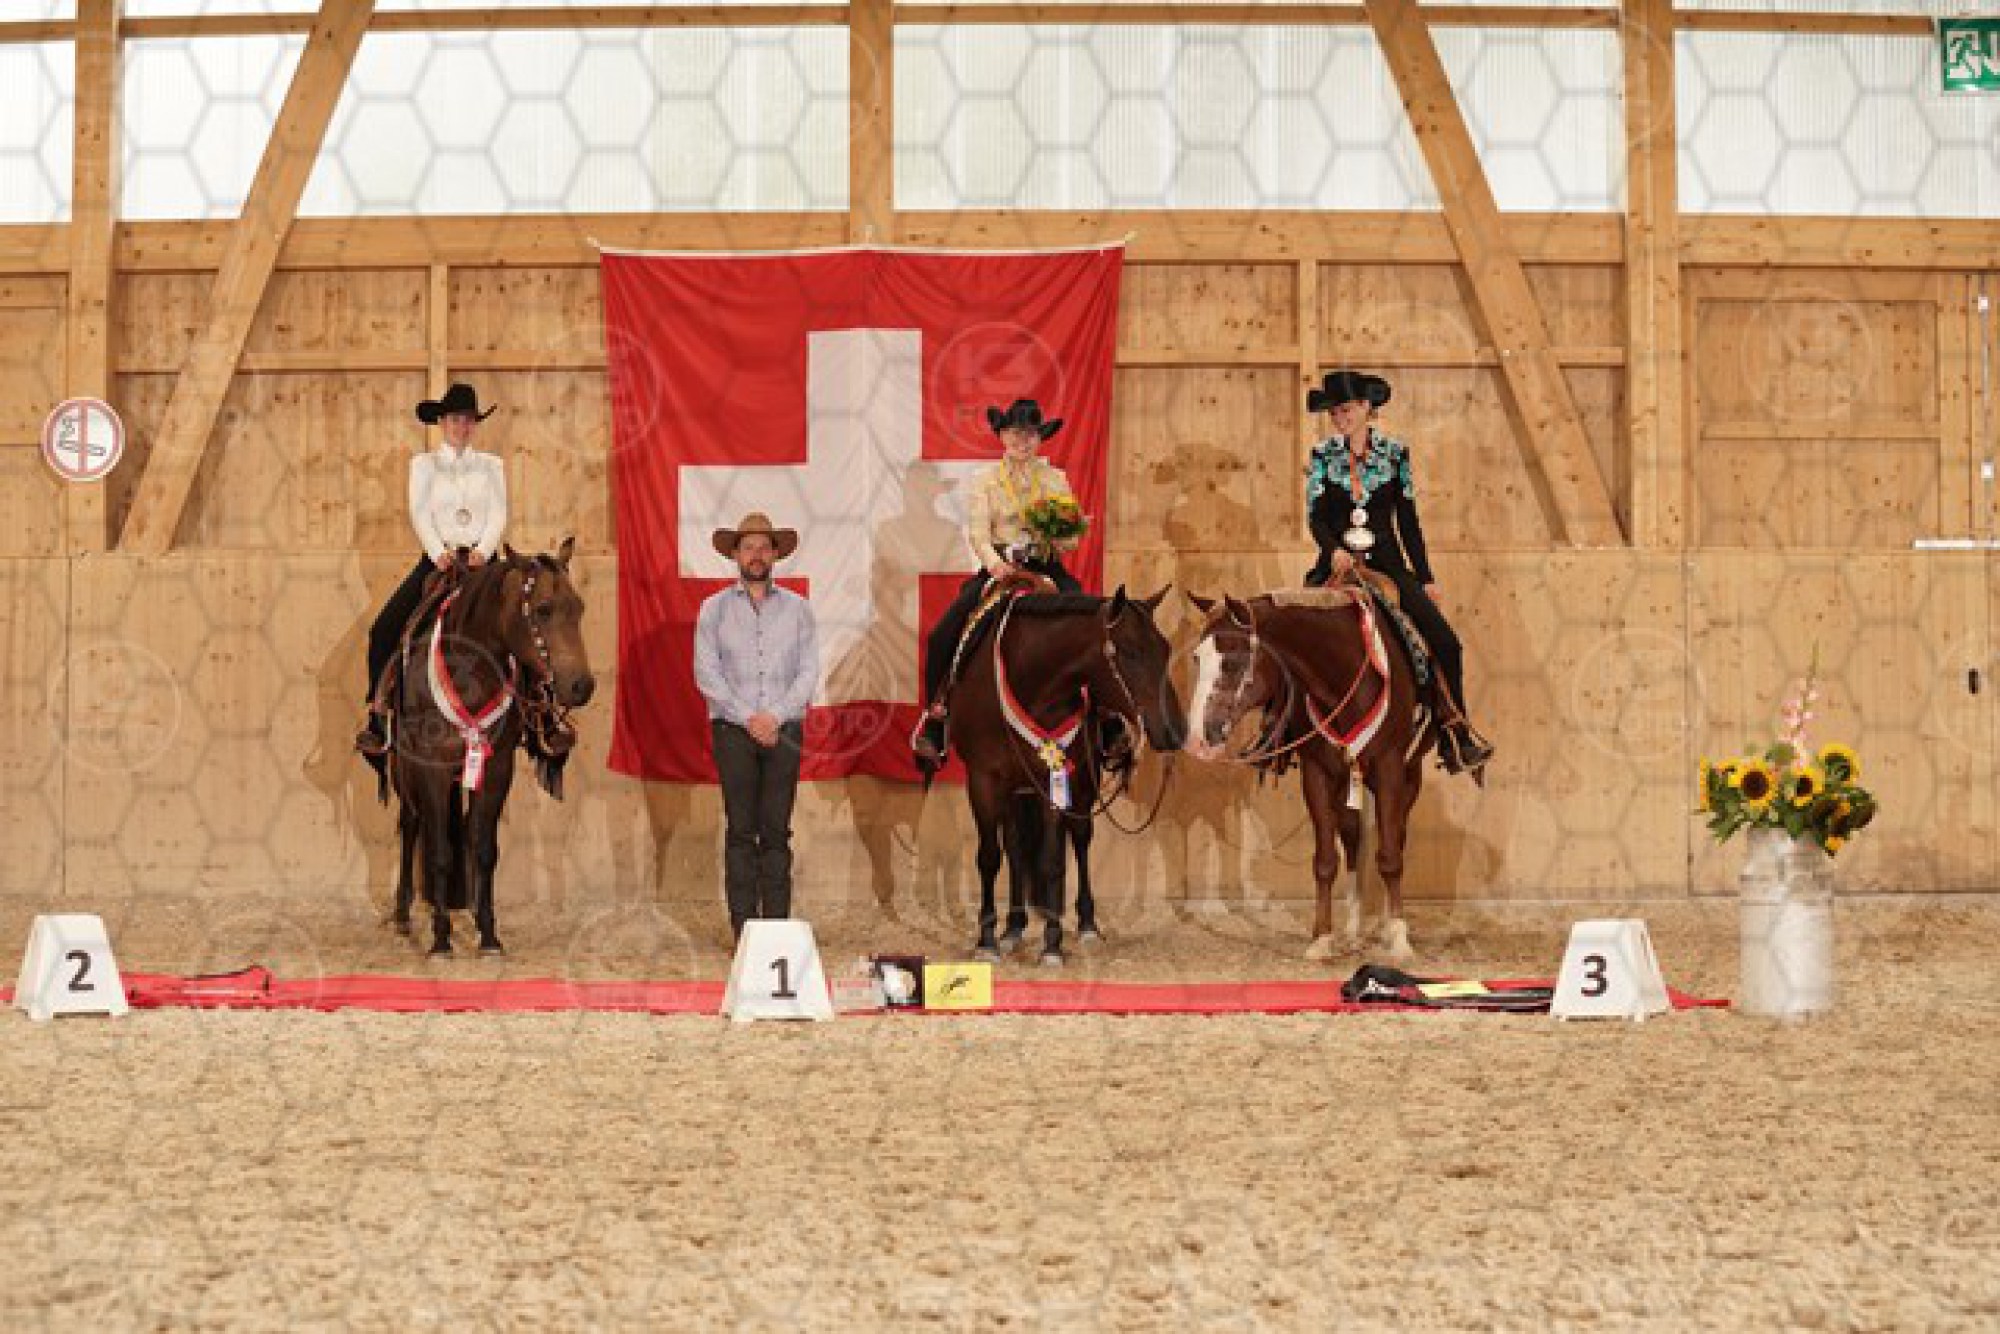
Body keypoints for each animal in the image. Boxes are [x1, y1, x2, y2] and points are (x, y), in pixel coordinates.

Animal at [382, 539, 595, 955]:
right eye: (543, 609)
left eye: (578, 607)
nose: (582, 686)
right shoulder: (431, 767)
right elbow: (440, 852)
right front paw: (441, 940)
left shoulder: (496, 769)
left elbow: (483, 849)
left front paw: (489, 936)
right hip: (403, 768)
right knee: (411, 823)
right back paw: (402, 915)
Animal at [945, 586, 1185, 965]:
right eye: (1130, 652)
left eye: (1165, 649)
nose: (1174, 731)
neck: (1028, 679)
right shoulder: (983, 781)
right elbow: (990, 857)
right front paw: (987, 941)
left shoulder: (1055, 779)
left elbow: (1051, 861)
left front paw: (1052, 944)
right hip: (1015, 791)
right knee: (1015, 848)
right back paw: (1012, 929)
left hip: (1082, 784)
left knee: (1081, 839)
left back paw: (1086, 926)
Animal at [1184, 586, 1434, 962]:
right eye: (1197, 659)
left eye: (1232, 662)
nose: (1199, 740)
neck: (1345, 677)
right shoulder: (1318, 775)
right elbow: (1326, 860)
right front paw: (1322, 939)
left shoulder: (1390, 768)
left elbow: (1390, 856)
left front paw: (1400, 940)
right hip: (1348, 782)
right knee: (1353, 838)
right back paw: (1352, 932)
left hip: (1408, 775)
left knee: (1396, 835)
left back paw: (1386, 928)